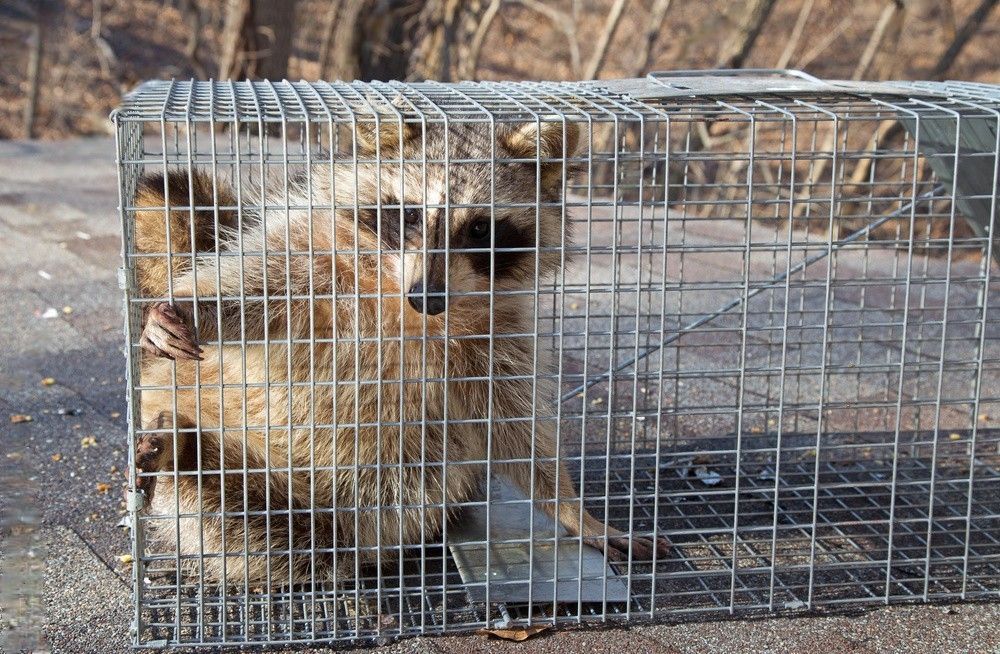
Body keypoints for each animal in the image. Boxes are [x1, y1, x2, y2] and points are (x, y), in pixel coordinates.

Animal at [131, 116, 664, 584]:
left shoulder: (498, 332)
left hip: (372, 502)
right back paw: (183, 448)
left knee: (279, 528)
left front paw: (573, 511)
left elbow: (514, 424)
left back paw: (186, 452)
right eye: (410, 213)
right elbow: (251, 287)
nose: (426, 296)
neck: (401, 302)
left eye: (479, 229)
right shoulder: (317, 255)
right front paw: (191, 307)